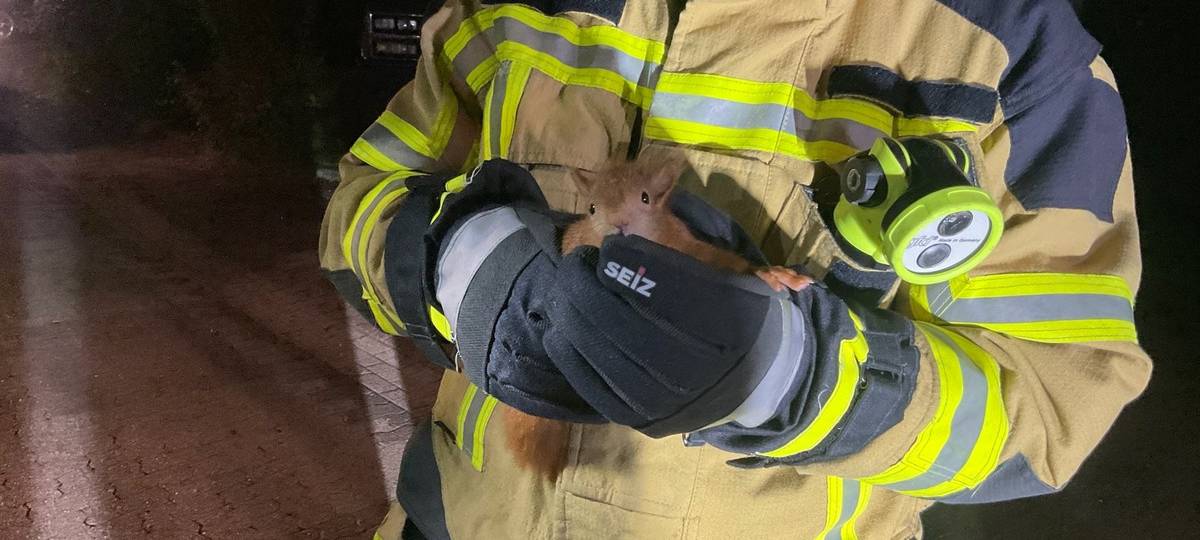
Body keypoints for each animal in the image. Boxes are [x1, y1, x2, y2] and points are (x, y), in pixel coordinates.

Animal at [502, 152, 812, 482]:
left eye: (645, 198)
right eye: (592, 207)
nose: (619, 224)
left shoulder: (687, 246)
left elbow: (725, 263)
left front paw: (773, 275)